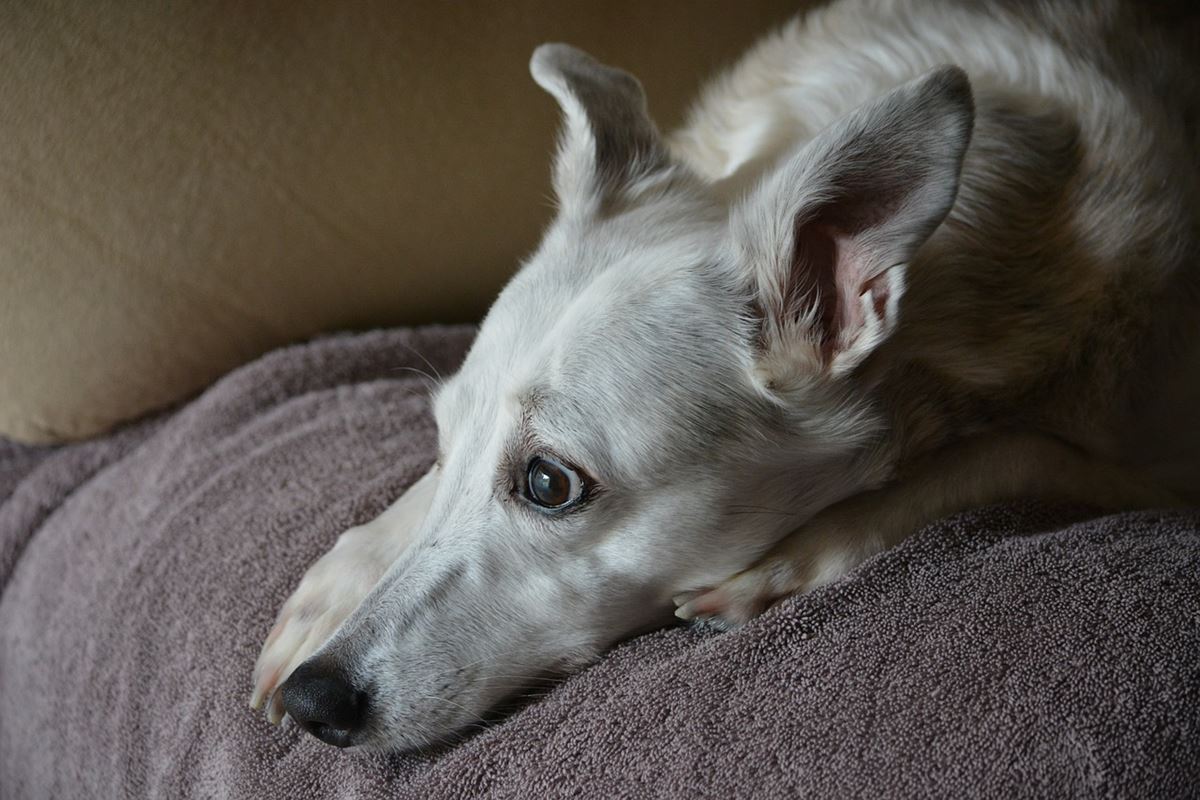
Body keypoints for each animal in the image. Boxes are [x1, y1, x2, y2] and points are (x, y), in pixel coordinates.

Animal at [248, 0, 1195, 753]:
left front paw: (789, 562)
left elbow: (1001, 455)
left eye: (549, 484)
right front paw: (342, 581)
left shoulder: (1149, 461)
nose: (314, 702)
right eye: (439, 440)